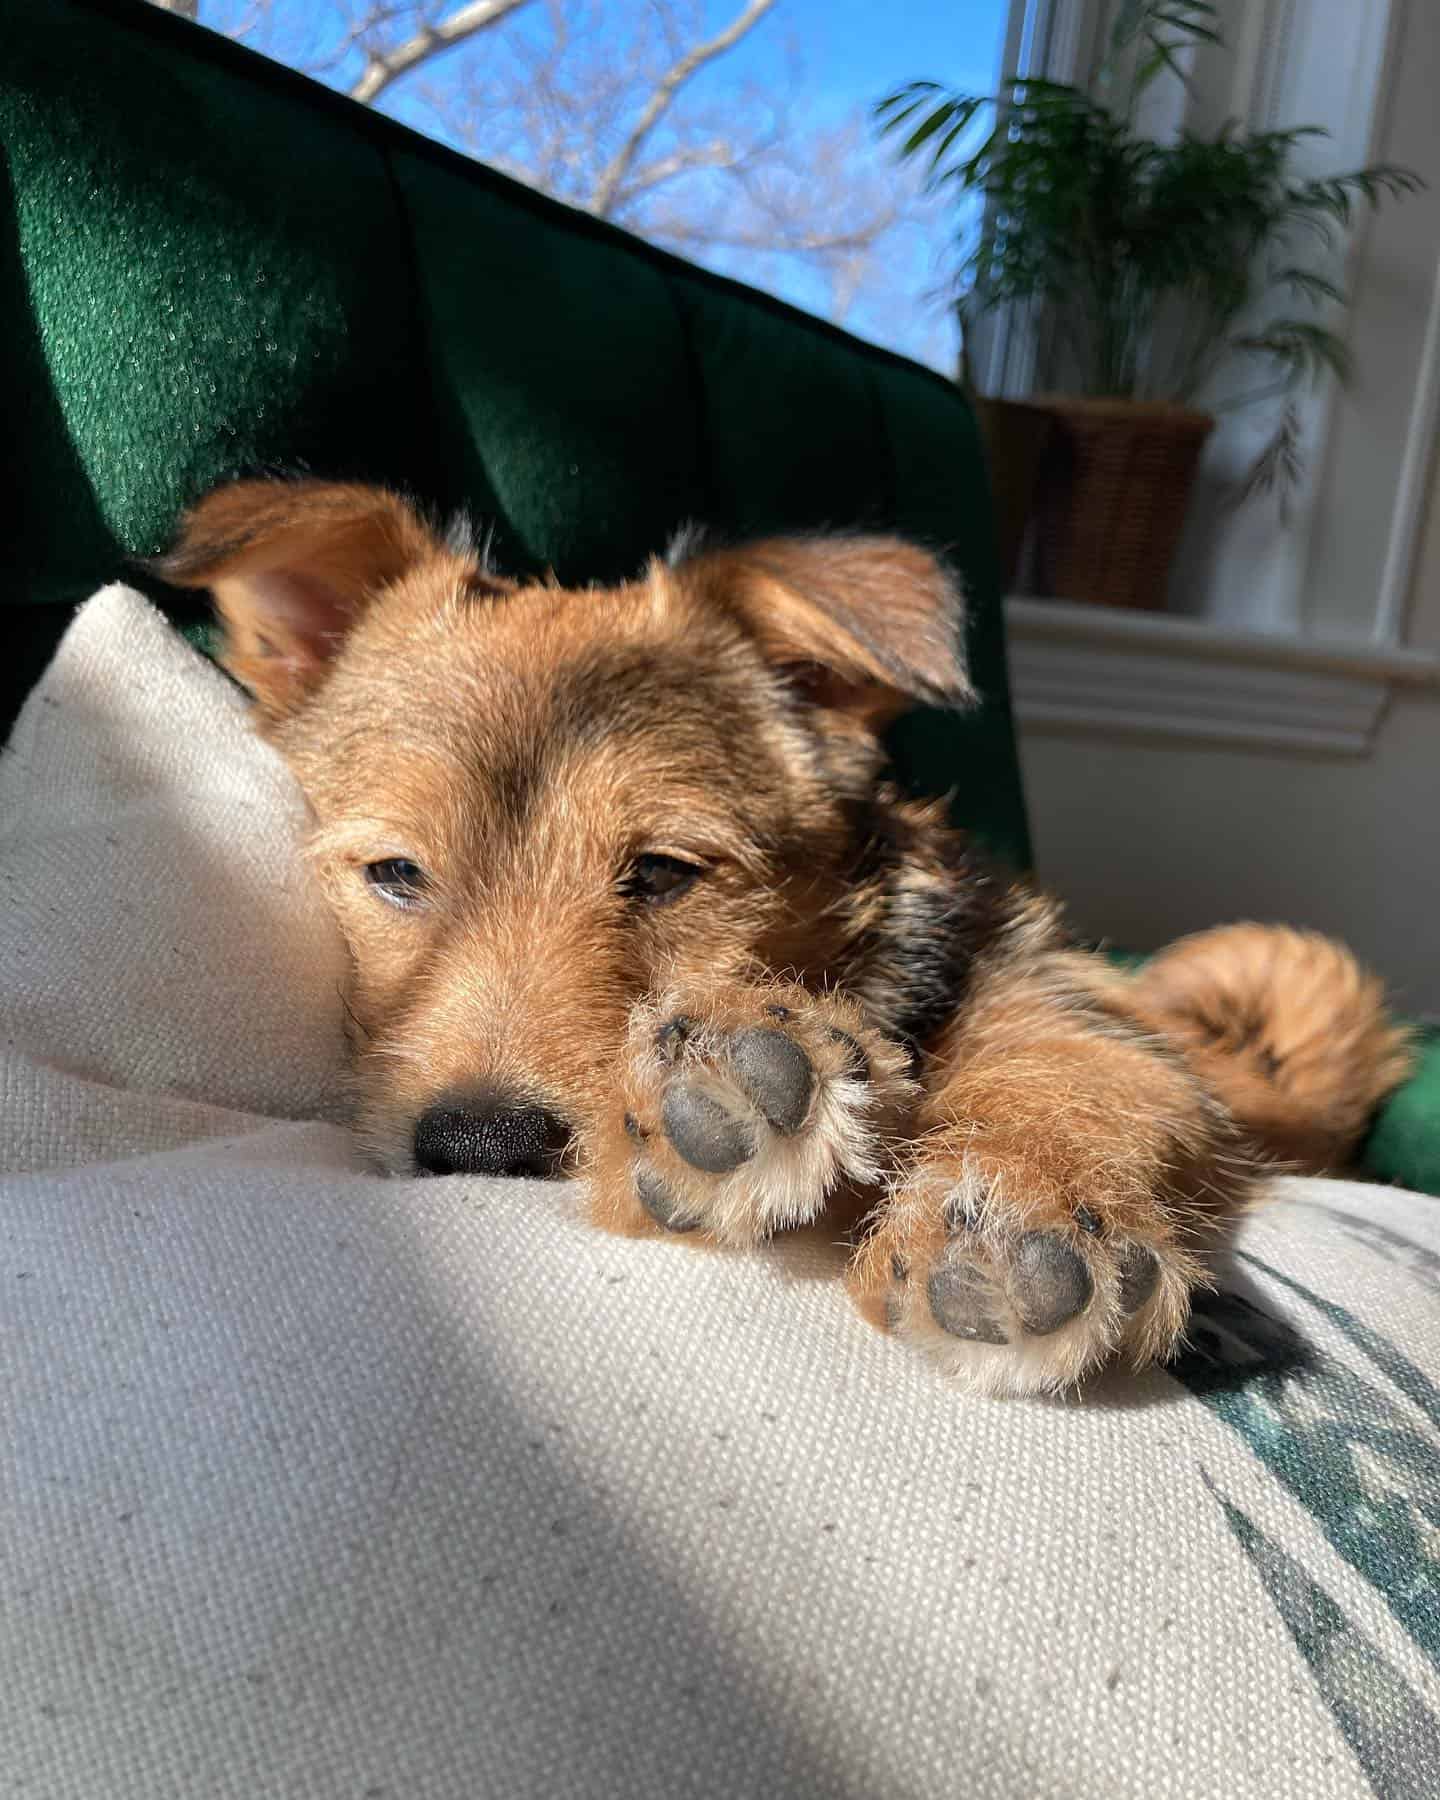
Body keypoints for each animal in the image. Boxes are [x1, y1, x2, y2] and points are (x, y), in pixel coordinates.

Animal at [162, 475, 1411, 1389]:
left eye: (664, 874)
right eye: (396, 874)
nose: (481, 1146)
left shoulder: (1044, 986)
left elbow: (1074, 1064)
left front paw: (1023, 1211)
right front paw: (720, 1097)